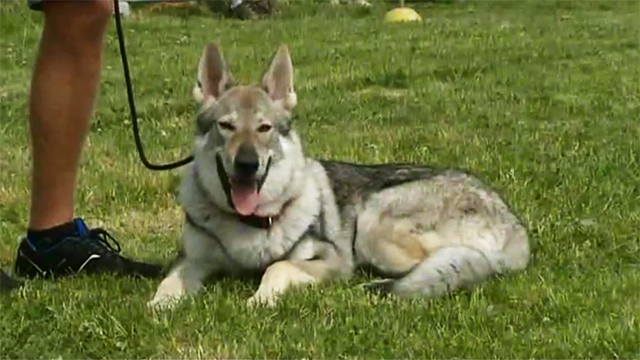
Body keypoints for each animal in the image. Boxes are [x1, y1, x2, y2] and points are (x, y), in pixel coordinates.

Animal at [149, 41, 528, 306]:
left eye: (264, 128)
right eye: (225, 127)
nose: (247, 163)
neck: (249, 225)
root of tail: (516, 228)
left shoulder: (334, 260)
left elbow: (278, 267)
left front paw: (261, 299)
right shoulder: (192, 259)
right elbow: (170, 280)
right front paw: (158, 306)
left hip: (373, 228)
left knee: (438, 267)